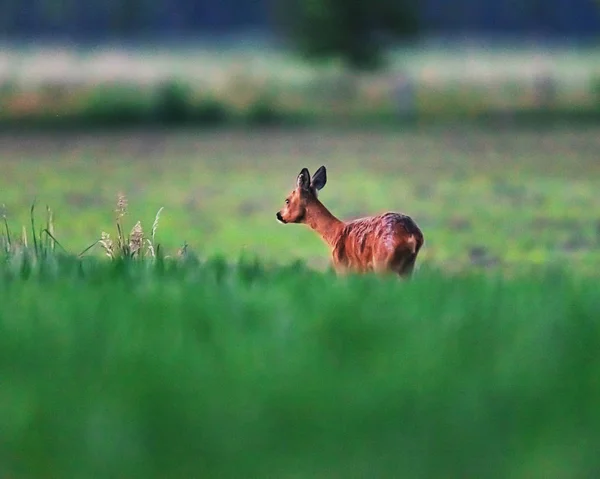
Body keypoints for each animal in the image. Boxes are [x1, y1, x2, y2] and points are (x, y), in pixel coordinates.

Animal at [274, 166, 424, 278]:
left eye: (287, 200)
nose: (278, 215)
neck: (334, 234)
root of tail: (412, 235)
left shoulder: (343, 267)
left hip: (383, 263)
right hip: (407, 267)